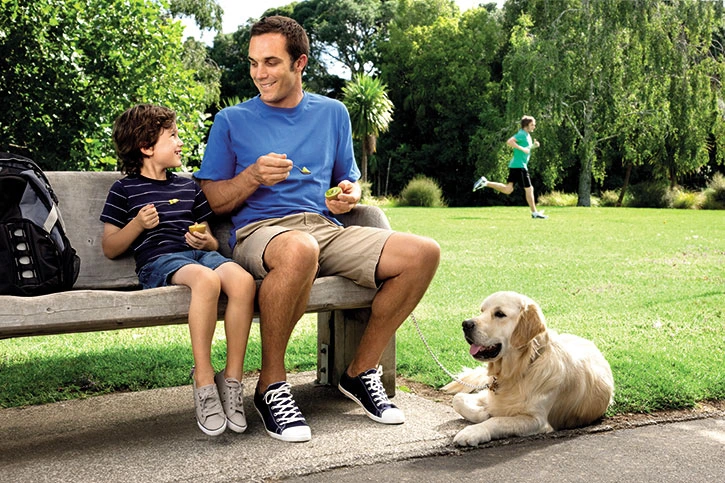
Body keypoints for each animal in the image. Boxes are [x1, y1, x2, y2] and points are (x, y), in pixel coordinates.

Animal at [442, 292, 612, 446]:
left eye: (499, 314)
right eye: (482, 310)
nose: (465, 324)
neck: (520, 369)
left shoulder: (536, 420)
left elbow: (497, 420)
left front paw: (474, 431)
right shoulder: (488, 395)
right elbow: (458, 399)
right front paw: (483, 412)